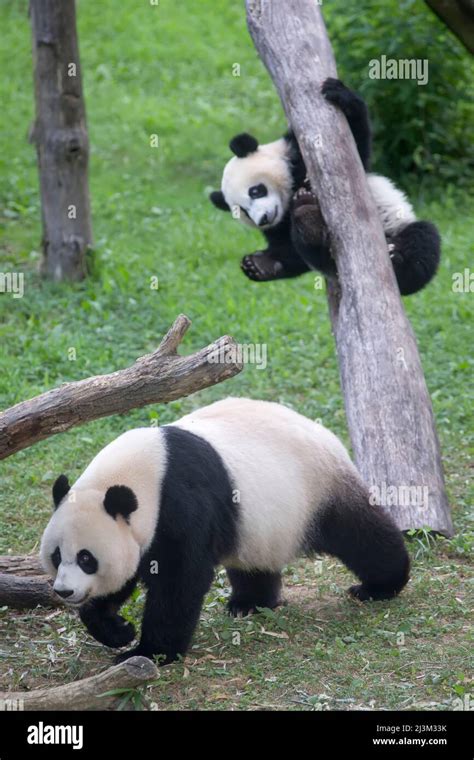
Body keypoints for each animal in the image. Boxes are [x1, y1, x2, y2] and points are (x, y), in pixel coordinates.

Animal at [40, 398, 410, 664]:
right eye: (57, 556)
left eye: (86, 558)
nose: (65, 591)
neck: (143, 473)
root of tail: (328, 436)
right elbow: (126, 577)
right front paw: (118, 630)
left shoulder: (178, 502)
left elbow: (180, 579)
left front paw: (149, 652)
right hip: (262, 523)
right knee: (256, 560)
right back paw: (249, 602)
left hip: (317, 489)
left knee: (359, 533)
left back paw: (381, 585)